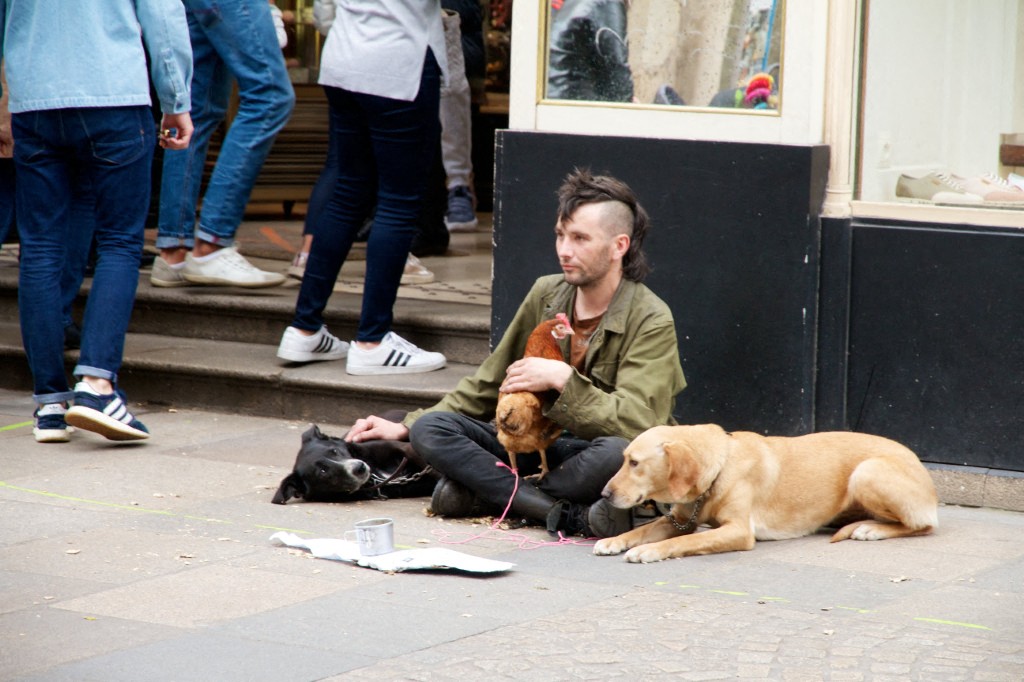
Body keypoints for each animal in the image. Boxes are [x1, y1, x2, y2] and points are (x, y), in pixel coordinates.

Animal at [593, 425, 937, 561]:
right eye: (625, 459)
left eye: (634, 462)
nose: (605, 494)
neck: (721, 465)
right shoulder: (678, 519)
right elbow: (643, 530)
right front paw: (615, 540)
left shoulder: (738, 531)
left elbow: (684, 541)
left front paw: (650, 551)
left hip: (866, 472)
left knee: (922, 526)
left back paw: (872, 529)